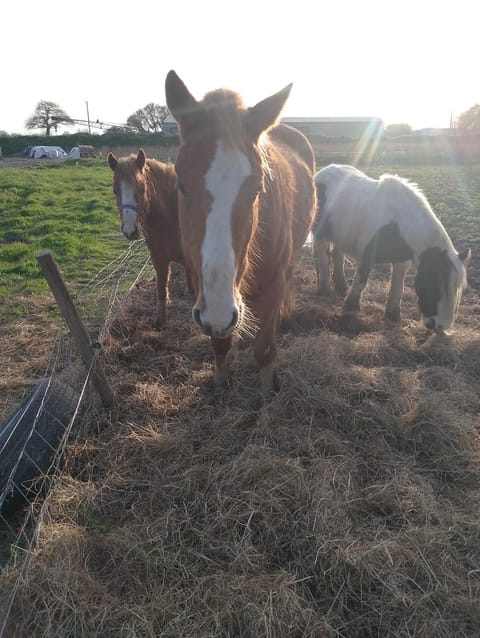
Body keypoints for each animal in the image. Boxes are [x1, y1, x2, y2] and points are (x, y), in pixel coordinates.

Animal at [109, 150, 191, 330]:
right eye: (115, 191)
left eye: (141, 188)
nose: (130, 230)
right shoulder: (158, 259)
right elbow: (161, 288)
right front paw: (160, 320)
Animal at [167, 71, 316, 400]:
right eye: (180, 184)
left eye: (257, 189)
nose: (220, 311)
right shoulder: (200, 287)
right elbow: (221, 343)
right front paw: (221, 383)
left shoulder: (273, 284)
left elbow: (264, 348)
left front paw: (265, 396)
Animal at [312, 165, 468, 336]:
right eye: (433, 284)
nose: (440, 327)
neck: (396, 223)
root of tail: (321, 173)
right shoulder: (366, 257)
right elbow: (361, 283)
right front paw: (350, 310)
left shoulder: (402, 262)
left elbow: (397, 288)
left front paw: (393, 316)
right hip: (320, 234)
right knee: (322, 258)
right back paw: (324, 289)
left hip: (340, 236)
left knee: (337, 257)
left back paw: (341, 287)